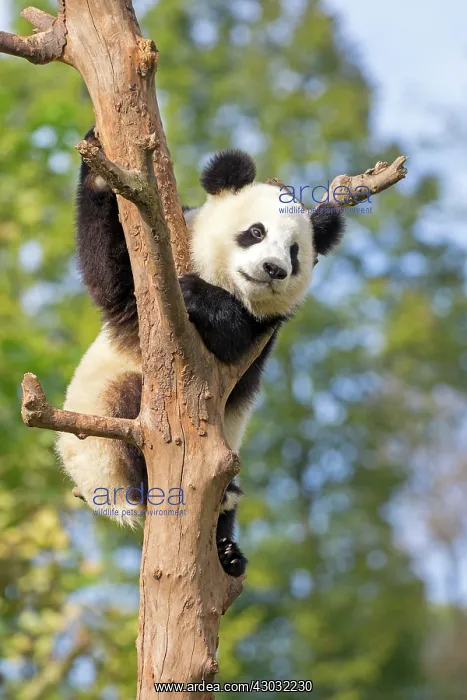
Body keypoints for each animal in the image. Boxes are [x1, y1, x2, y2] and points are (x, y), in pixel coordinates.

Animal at [57, 128, 344, 577]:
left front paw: (200, 297)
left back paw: (228, 546)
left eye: (295, 251)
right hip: (98, 443)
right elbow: (112, 278)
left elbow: (236, 343)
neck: (222, 277)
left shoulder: (267, 332)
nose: (274, 269)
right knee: (128, 404)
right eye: (256, 232)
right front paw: (101, 167)